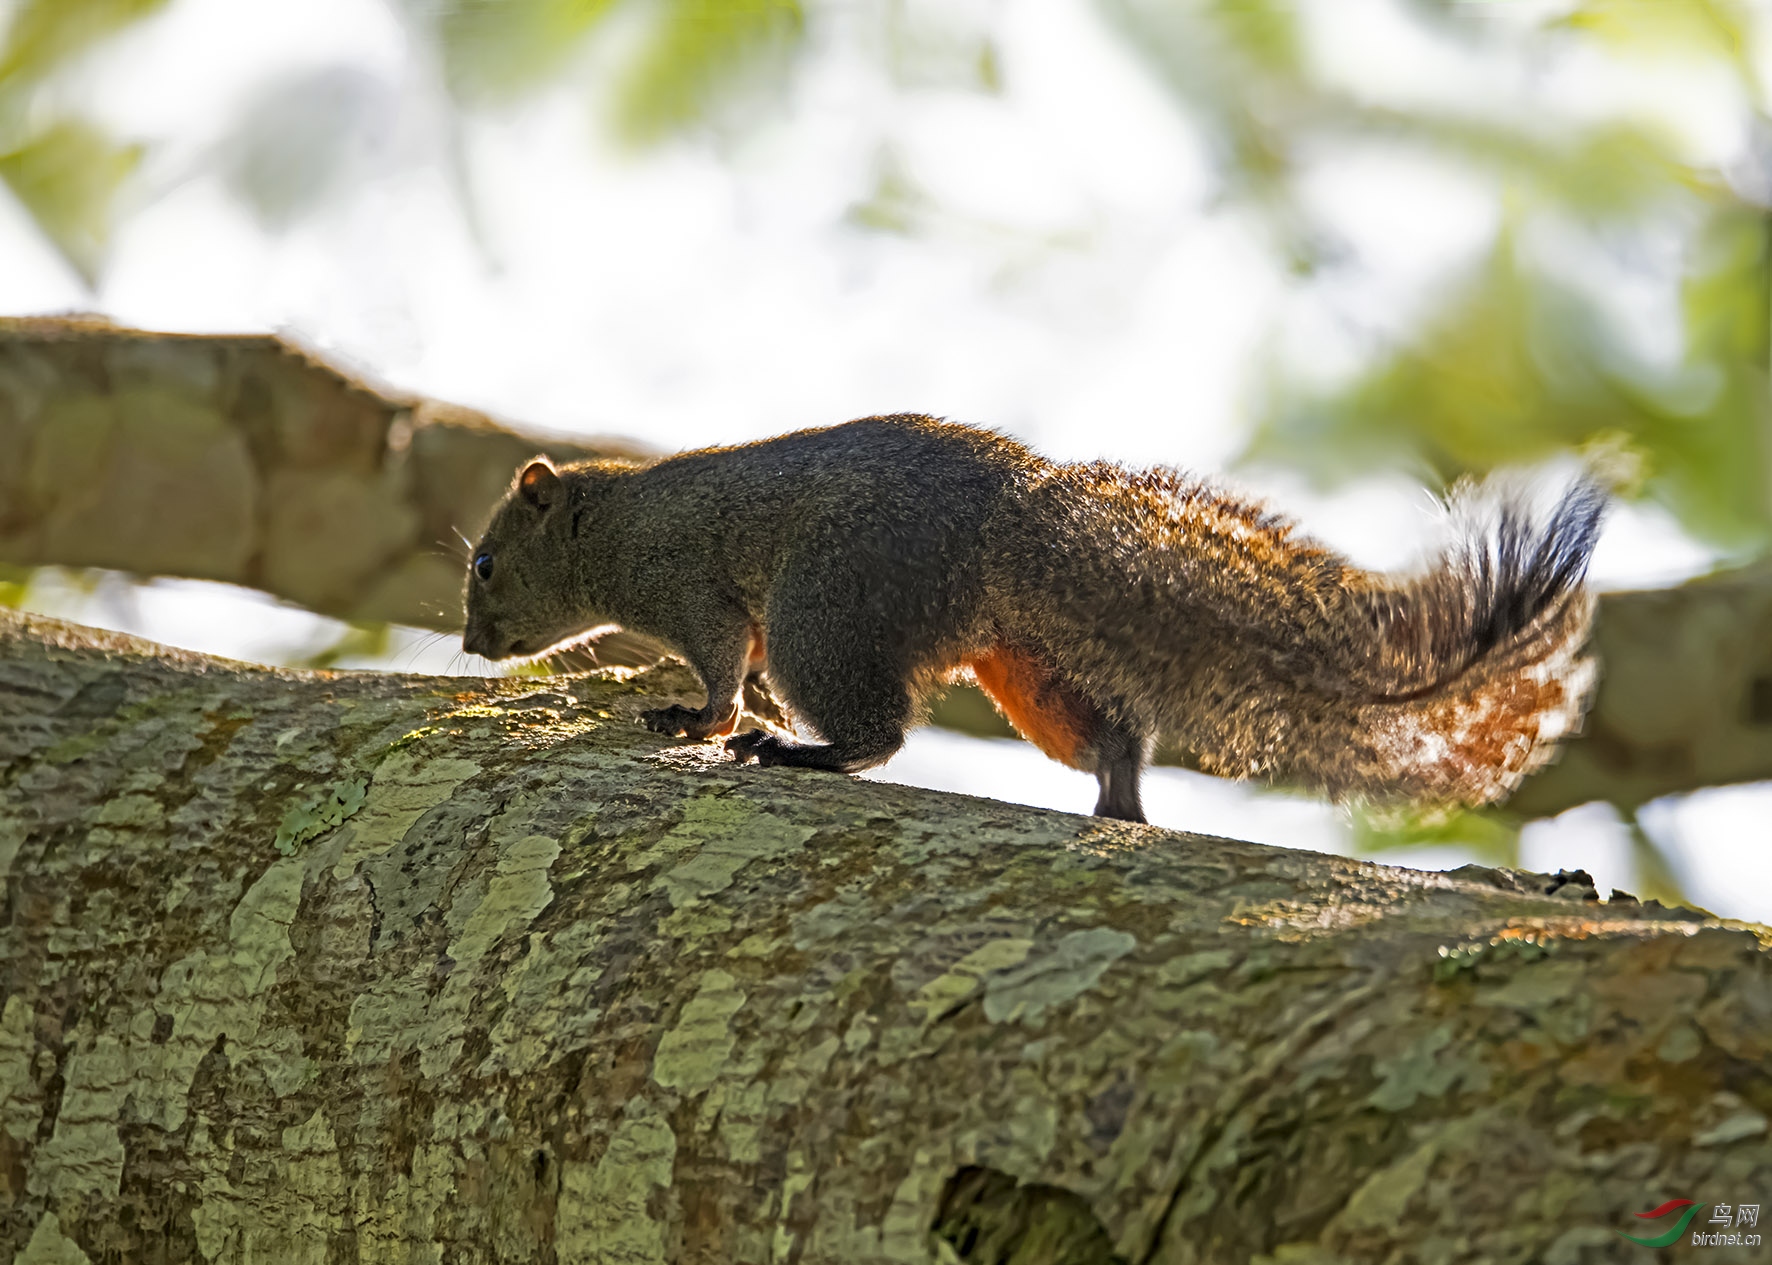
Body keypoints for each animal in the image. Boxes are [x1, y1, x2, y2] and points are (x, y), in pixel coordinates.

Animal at [460, 414, 1608, 822]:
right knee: (1107, 735)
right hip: (1026, 666)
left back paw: (802, 748)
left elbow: (715, 664)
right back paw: (1119, 800)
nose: (470, 642)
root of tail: (1010, 518)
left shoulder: (687, 581)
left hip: (824, 608)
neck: (607, 521)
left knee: (876, 729)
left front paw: (695, 719)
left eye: (483, 562)